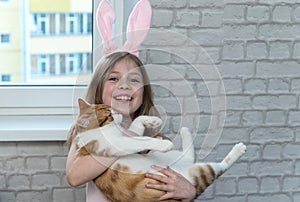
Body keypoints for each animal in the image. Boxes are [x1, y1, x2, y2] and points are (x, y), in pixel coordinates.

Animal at [73, 98, 246, 201]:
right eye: (109, 114)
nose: (118, 113)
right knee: (219, 168)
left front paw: (152, 120)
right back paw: (238, 149)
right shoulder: (116, 144)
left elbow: (137, 123)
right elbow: (140, 140)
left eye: (110, 107)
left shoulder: (127, 133)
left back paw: (184, 131)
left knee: (189, 154)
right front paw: (161, 143)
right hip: (199, 172)